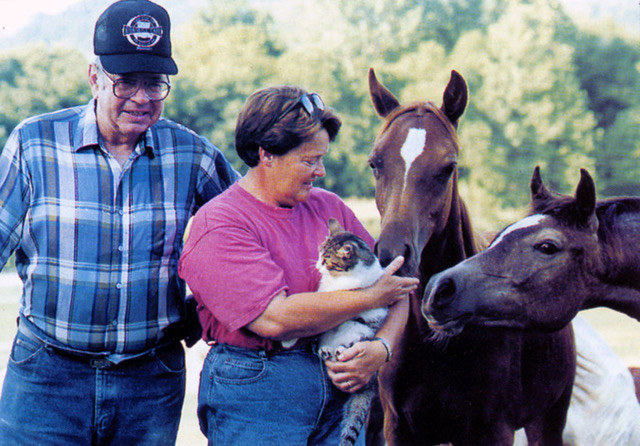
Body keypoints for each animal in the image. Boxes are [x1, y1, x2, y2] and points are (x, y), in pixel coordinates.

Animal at [316, 218, 384, 446]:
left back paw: (337, 351)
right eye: (319, 252)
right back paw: (326, 351)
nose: (317, 265)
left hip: (358, 332)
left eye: (326, 260)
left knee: (344, 351)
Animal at [368, 69, 576, 446]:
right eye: (375, 163)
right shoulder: (400, 429)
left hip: (549, 419)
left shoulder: (493, 430)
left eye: (448, 167)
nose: (394, 254)